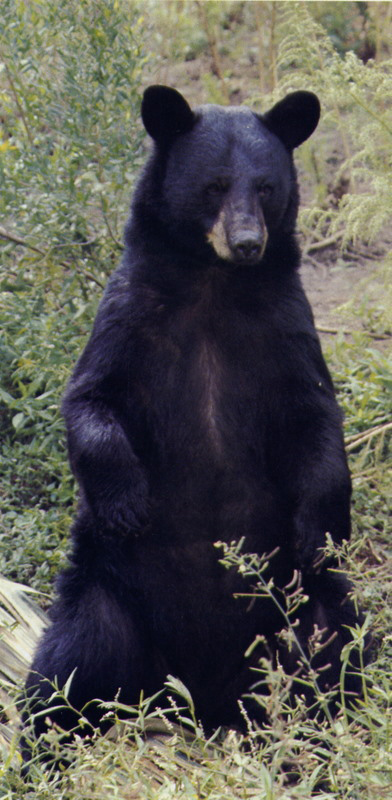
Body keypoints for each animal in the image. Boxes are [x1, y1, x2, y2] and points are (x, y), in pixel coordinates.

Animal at [24, 84, 368, 740]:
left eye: (266, 186)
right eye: (213, 185)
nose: (248, 243)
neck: (214, 283)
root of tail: (202, 701)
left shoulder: (284, 329)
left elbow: (315, 419)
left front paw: (319, 528)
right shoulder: (132, 317)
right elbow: (90, 398)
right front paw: (127, 501)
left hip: (298, 611)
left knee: (337, 645)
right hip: (107, 591)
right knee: (68, 669)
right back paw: (44, 744)